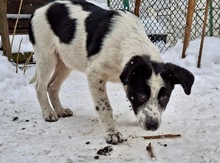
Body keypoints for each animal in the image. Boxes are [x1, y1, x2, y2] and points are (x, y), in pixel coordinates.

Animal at [28, 0, 194, 145]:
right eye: (141, 94)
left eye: (164, 97)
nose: (152, 125)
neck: (129, 39)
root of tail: (39, 9)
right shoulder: (94, 74)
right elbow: (105, 107)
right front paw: (112, 133)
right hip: (46, 58)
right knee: (40, 86)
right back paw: (48, 113)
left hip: (65, 62)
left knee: (52, 86)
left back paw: (60, 110)